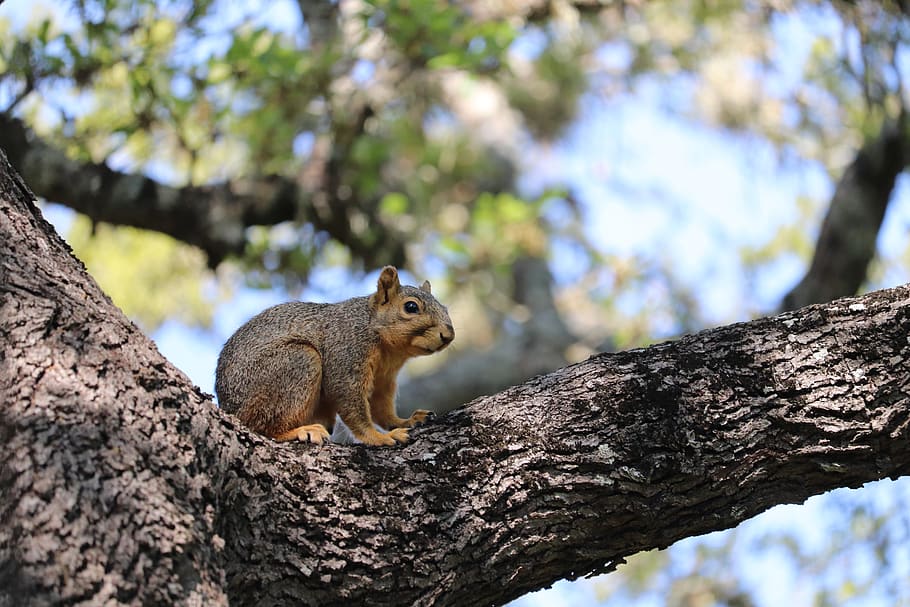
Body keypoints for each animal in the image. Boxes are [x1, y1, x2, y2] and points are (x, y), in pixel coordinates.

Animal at [215, 266, 455, 447]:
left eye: (445, 308)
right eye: (411, 307)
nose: (449, 335)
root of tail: (230, 408)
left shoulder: (384, 379)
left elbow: (381, 409)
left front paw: (405, 421)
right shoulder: (346, 354)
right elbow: (352, 405)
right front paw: (379, 437)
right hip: (298, 362)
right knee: (260, 425)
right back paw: (300, 430)